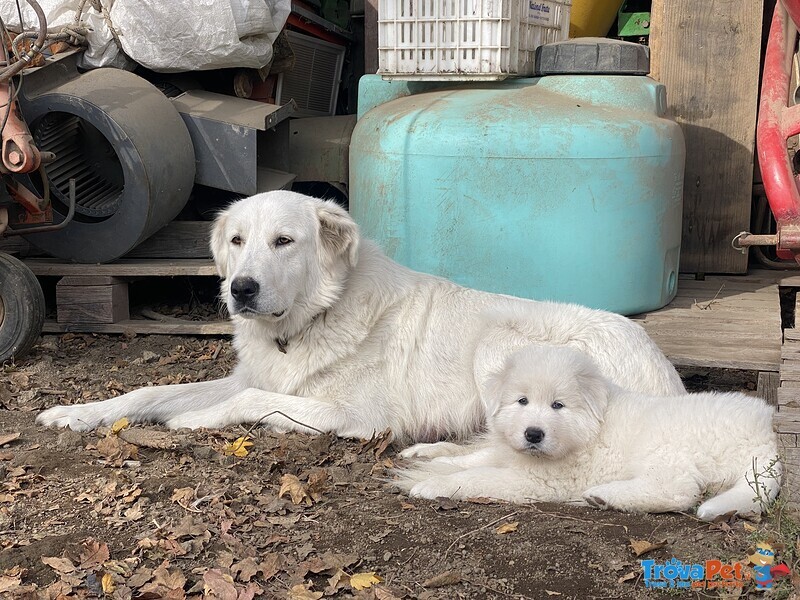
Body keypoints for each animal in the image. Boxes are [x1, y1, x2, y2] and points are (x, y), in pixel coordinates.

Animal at [37, 191, 684, 440]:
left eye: (284, 242)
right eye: (237, 240)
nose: (240, 289)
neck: (309, 322)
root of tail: (669, 377)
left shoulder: (354, 414)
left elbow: (250, 402)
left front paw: (196, 421)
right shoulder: (254, 373)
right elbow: (148, 392)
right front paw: (76, 413)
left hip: (498, 343)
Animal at [396, 344, 780, 524]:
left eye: (558, 406)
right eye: (522, 401)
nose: (533, 434)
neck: (586, 430)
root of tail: (767, 431)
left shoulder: (537, 481)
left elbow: (477, 476)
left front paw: (431, 484)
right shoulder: (510, 451)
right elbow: (471, 457)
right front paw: (426, 455)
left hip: (665, 450)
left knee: (677, 492)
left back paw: (603, 495)